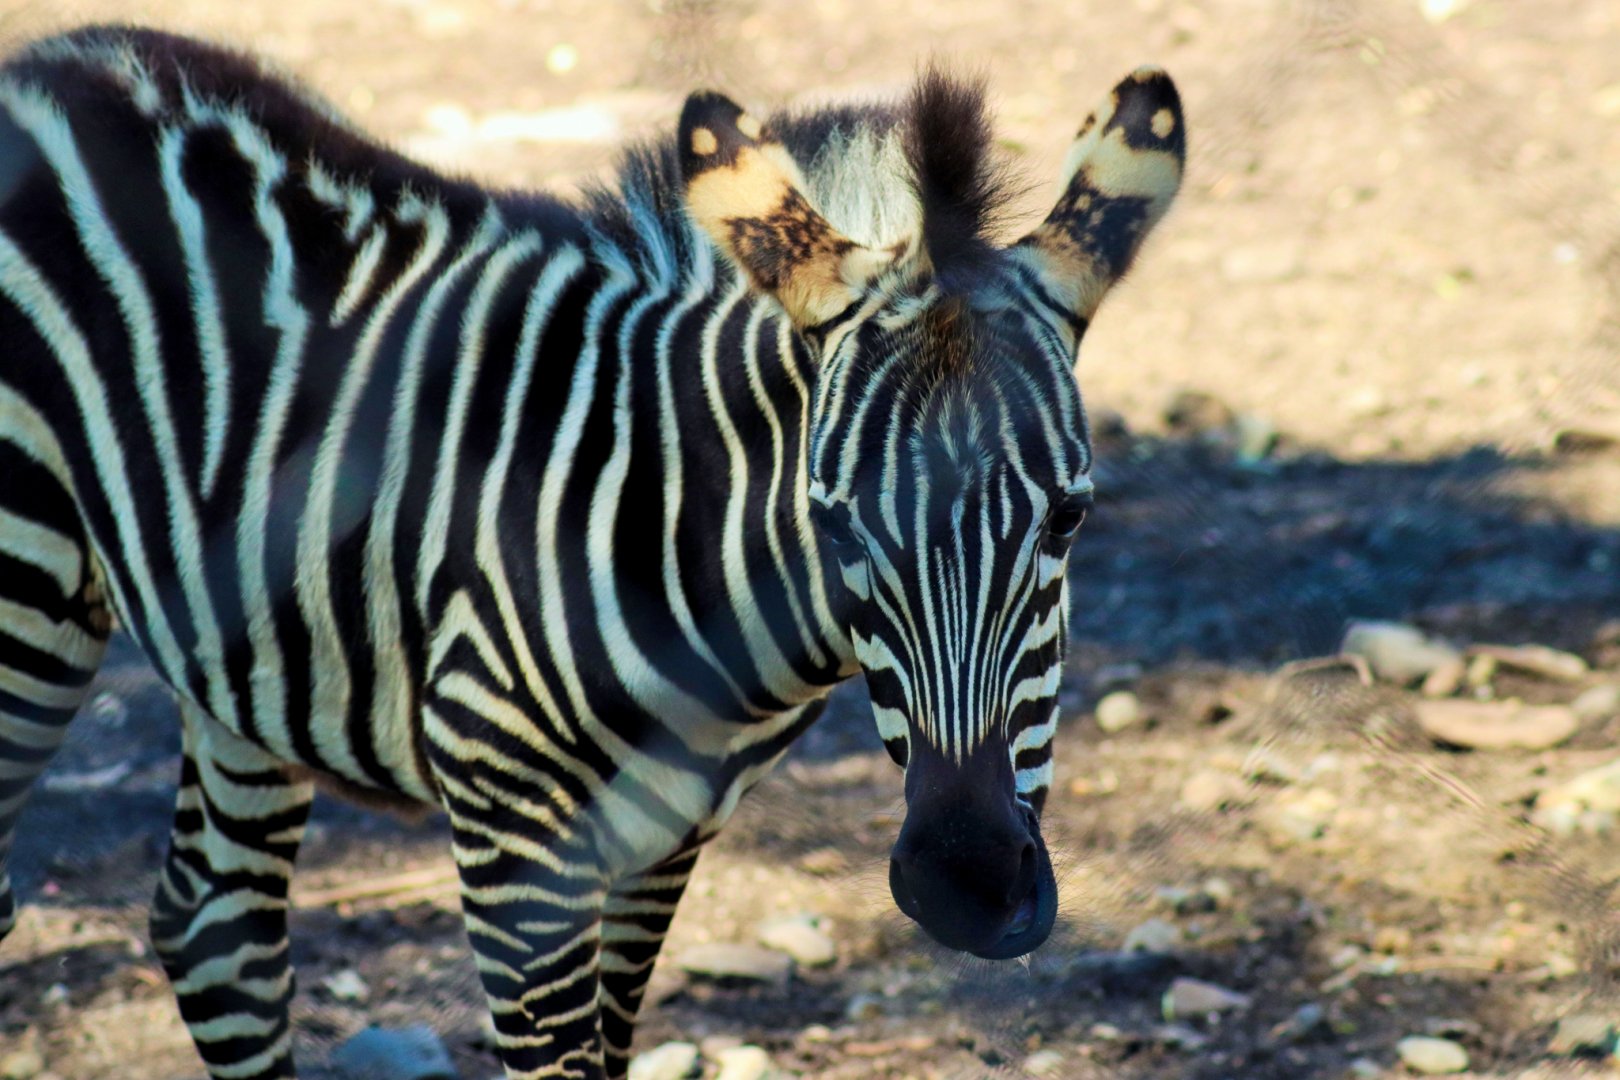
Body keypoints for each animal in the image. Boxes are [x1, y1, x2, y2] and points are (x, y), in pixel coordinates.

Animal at [0, 23, 1184, 1080]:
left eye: (1068, 518)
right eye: (836, 519)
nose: (967, 889)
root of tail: (49, 61)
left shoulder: (662, 839)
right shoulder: (512, 844)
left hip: (244, 656)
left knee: (216, 925)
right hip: (32, 594)